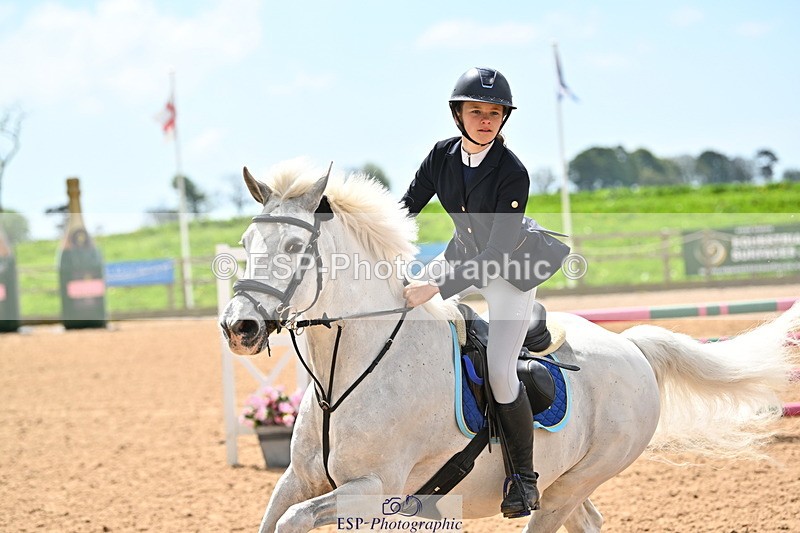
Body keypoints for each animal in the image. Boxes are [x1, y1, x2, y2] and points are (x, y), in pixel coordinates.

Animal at [219, 161, 799, 533]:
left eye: (296, 245)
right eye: (246, 244)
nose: (239, 327)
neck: (351, 368)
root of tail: (632, 348)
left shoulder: (373, 488)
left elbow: (293, 521)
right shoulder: (298, 480)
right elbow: (276, 518)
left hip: (569, 485)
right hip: (569, 484)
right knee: (589, 521)